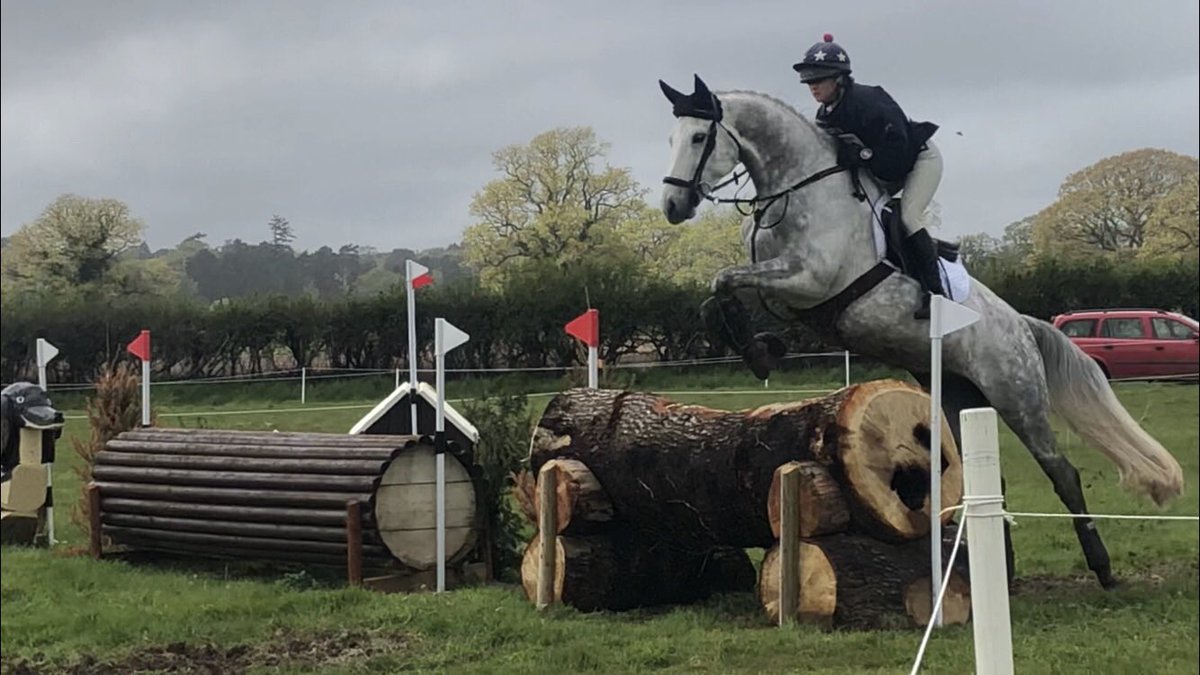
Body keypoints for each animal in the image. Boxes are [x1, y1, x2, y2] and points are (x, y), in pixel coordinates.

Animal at [657, 75, 1184, 589]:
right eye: (672, 138)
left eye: (700, 138)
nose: (673, 205)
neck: (797, 190)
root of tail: (1021, 324)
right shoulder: (781, 288)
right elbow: (716, 294)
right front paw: (761, 349)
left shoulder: (809, 281)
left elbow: (723, 280)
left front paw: (761, 351)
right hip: (955, 396)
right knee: (988, 479)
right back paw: (1004, 573)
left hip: (1017, 394)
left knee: (1063, 472)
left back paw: (1102, 568)